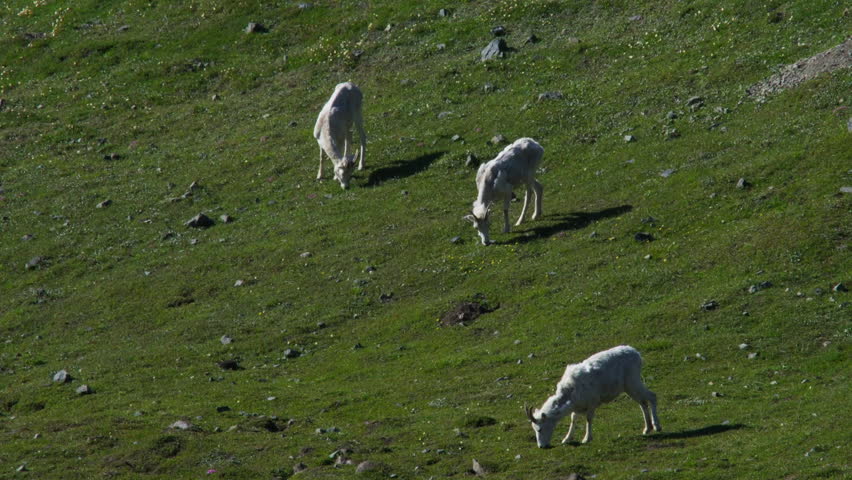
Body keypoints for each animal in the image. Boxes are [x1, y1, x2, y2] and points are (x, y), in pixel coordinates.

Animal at [524, 345, 661, 448]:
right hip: (629, 387)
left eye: (539, 429)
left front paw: (586, 439)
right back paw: (647, 429)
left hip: (633, 382)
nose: (541, 446)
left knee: (652, 396)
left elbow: (588, 419)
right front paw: (566, 439)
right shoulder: (577, 407)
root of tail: (637, 354)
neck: (570, 393)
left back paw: (657, 427)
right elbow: (573, 419)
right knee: (642, 402)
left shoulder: (592, 403)